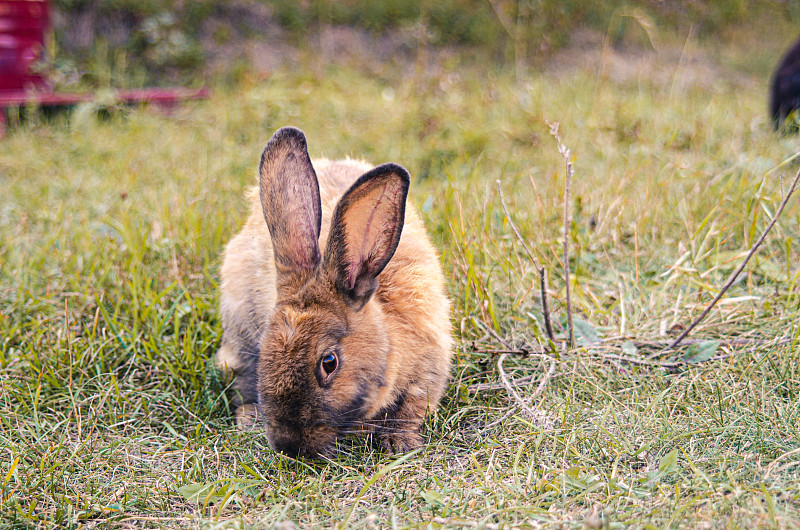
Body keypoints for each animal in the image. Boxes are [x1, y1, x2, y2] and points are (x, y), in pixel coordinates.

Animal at [216, 126, 454, 456]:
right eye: (266, 349)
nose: (289, 445)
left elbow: (412, 409)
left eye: (329, 363)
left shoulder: (430, 365)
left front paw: (399, 442)